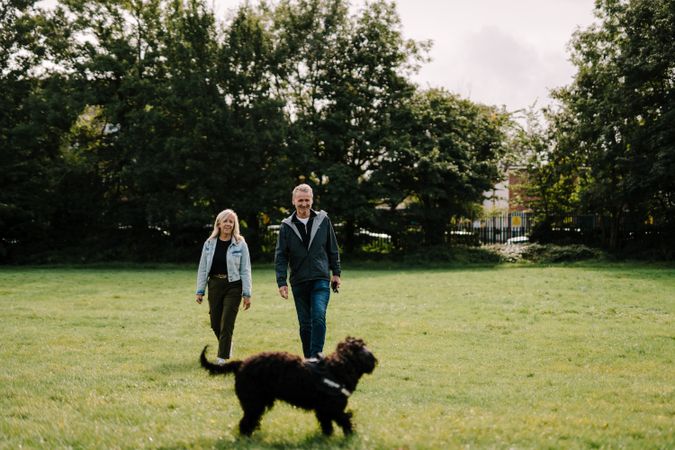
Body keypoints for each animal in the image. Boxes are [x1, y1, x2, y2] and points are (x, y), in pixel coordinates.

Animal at [201, 336, 380, 434]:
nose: (375, 360)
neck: (337, 368)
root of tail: (241, 363)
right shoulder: (333, 408)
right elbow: (345, 419)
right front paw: (351, 434)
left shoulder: (323, 410)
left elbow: (327, 425)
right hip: (254, 401)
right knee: (246, 422)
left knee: (250, 420)